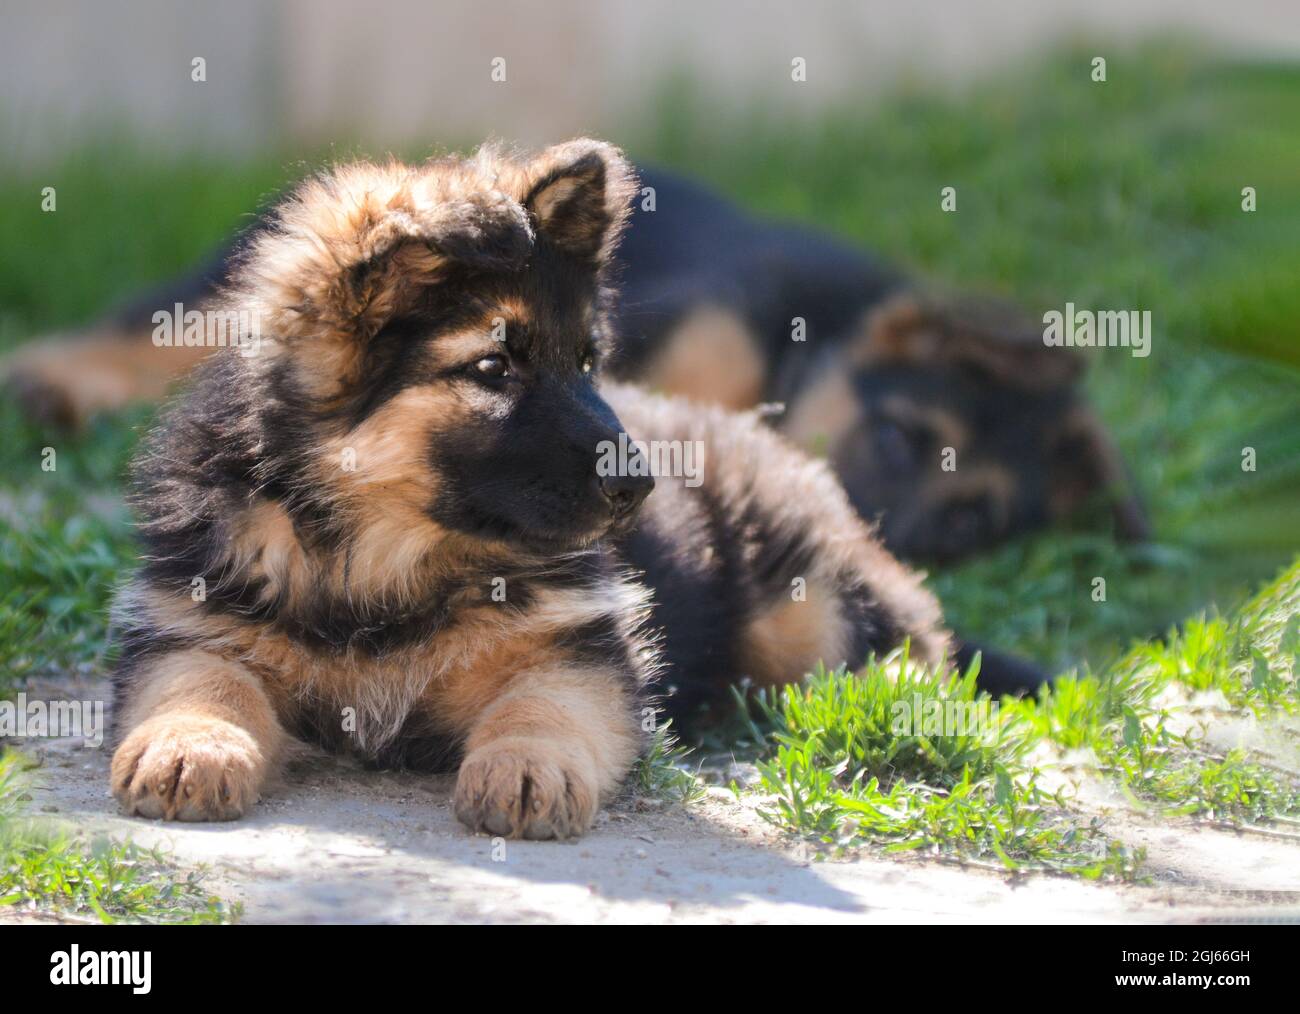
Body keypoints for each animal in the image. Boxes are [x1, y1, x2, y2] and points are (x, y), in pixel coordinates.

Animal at [109, 142, 946, 837]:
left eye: (587, 360)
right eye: (492, 368)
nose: (642, 484)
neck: (378, 561)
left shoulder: (576, 652)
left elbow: (539, 706)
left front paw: (526, 768)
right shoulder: (190, 622)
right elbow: (203, 682)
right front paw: (190, 744)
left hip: (802, 604)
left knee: (910, 632)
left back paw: (900, 700)